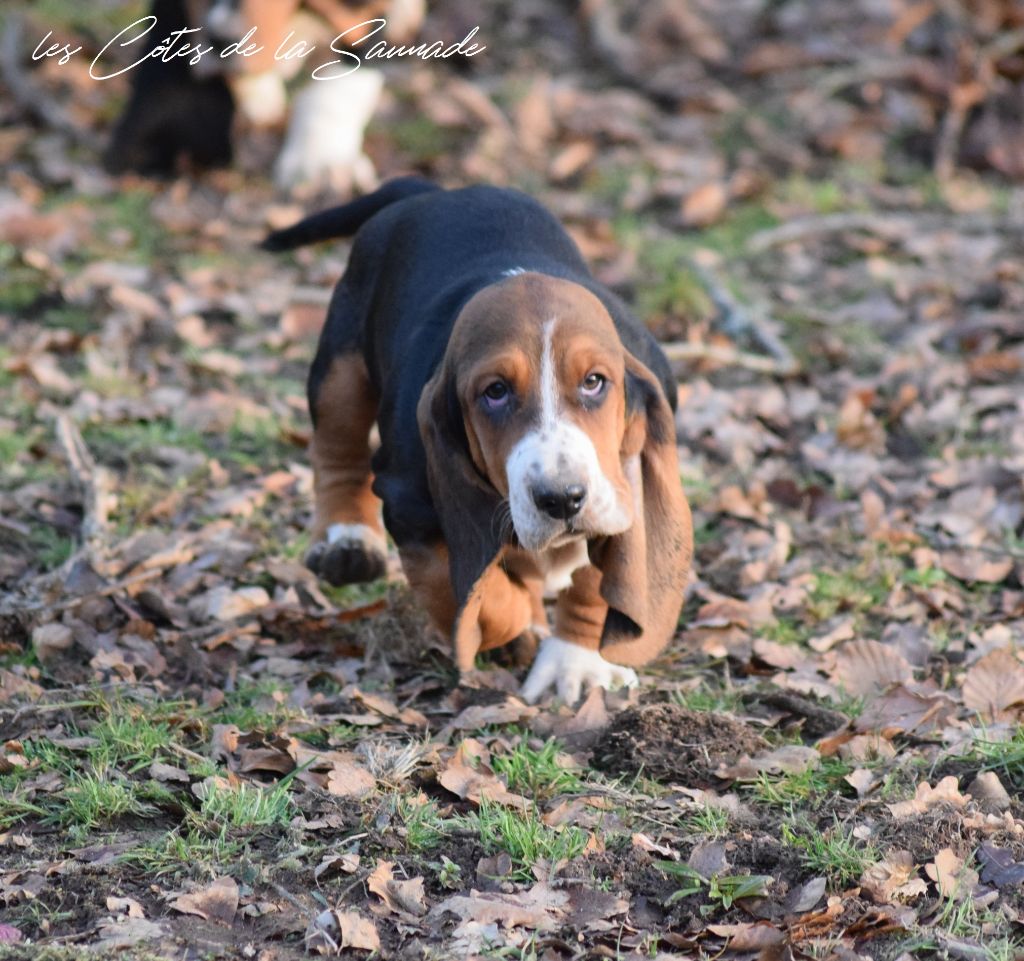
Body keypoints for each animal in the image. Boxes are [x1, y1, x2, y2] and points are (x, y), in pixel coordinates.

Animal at [264, 180, 696, 700]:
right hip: (341, 363)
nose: (562, 499)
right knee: (337, 445)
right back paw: (346, 541)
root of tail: (434, 189)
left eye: (595, 382)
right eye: (495, 392)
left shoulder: (618, 487)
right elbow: (466, 588)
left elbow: (594, 578)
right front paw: (514, 626)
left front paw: (572, 664)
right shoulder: (411, 508)